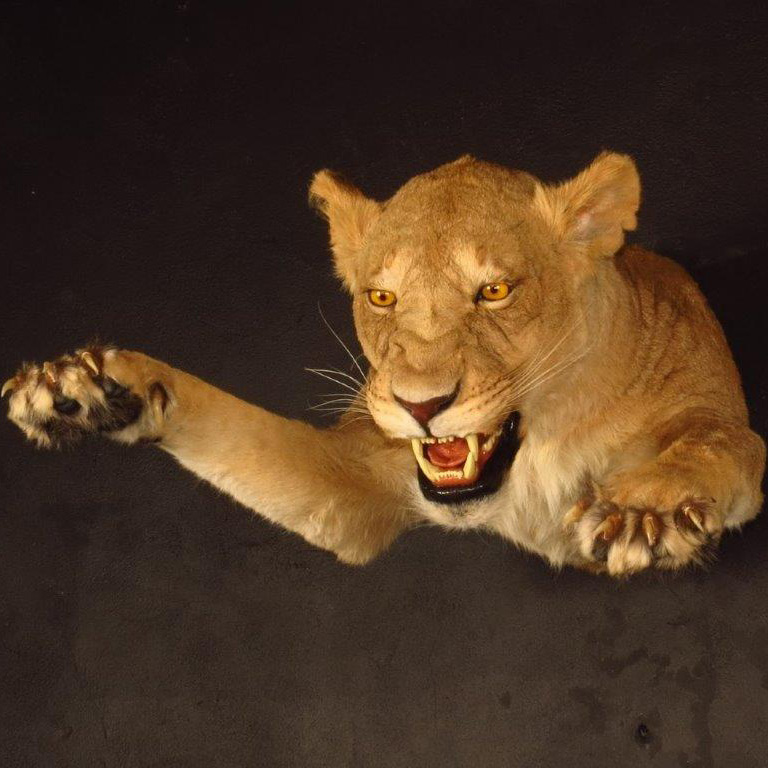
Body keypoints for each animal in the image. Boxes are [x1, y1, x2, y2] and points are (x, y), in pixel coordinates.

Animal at [3, 152, 765, 576]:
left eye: (495, 291)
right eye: (382, 296)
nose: (421, 404)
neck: (541, 448)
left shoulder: (711, 410)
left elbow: (716, 443)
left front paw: (641, 511)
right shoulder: (354, 482)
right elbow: (231, 424)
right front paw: (86, 389)